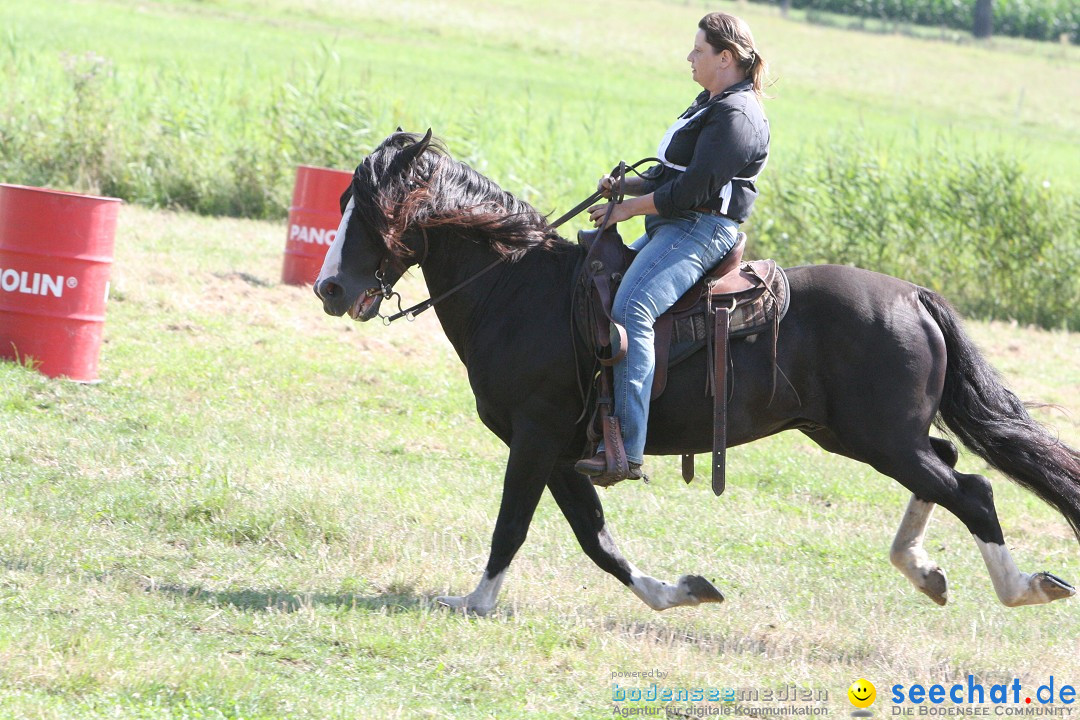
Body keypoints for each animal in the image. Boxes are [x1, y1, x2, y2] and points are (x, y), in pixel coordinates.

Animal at [313, 129, 1080, 613]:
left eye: (372, 211)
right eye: (340, 201)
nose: (329, 289)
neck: (518, 288)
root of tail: (915, 295)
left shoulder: (535, 438)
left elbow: (515, 525)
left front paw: (472, 600)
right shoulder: (561, 450)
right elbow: (596, 537)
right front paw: (677, 593)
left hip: (882, 438)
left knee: (974, 490)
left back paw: (1022, 587)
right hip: (860, 436)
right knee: (947, 468)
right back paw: (925, 572)